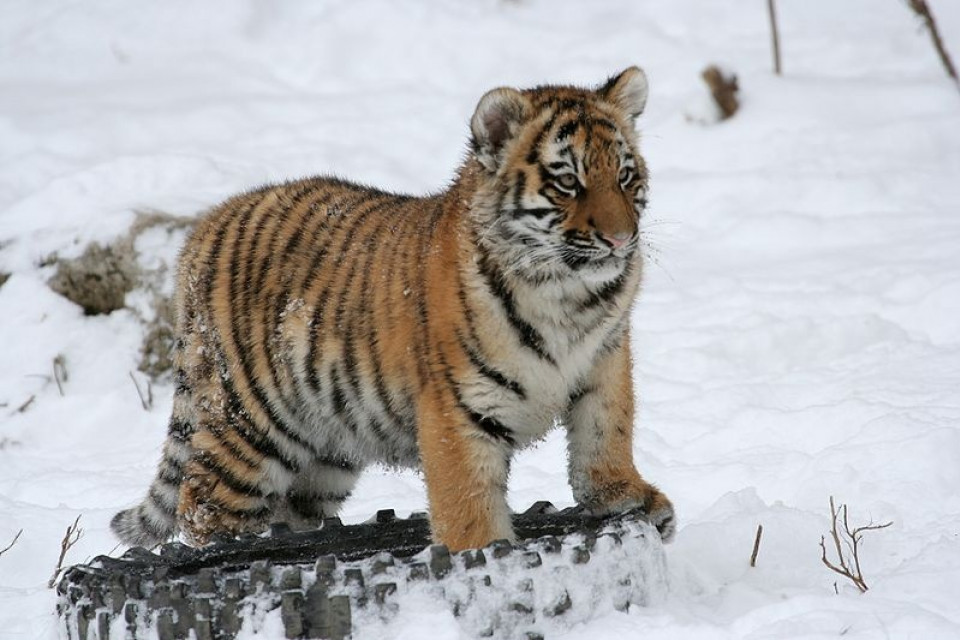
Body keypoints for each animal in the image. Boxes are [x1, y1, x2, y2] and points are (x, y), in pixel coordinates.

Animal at [111, 66, 675, 553]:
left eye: (625, 177)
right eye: (567, 182)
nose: (620, 239)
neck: (567, 295)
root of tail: (205, 225)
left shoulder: (605, 364)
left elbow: (605, 435)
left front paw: (627, 497)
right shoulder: (458, 406)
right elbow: (466, 498)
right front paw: (481, 554)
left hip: (326, 448)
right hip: (249, 426)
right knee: (201, 505)